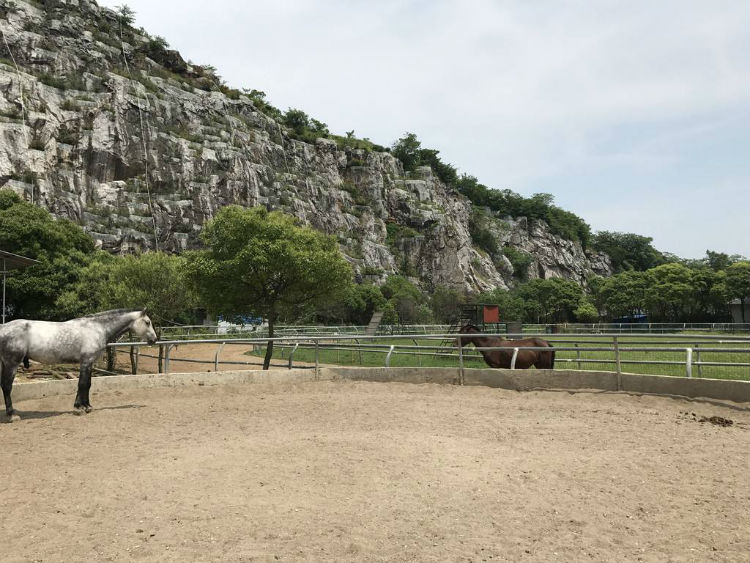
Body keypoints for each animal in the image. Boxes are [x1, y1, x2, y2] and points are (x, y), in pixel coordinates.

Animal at [0, 309, 157, 422]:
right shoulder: (86, 361)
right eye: (147, 322)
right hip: (11, 363)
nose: (154, 339)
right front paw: (80, 408)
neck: (97, 328)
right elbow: (82, 384)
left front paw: (85, 406)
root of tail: (3, 327)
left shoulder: (89, 362)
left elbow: (87, 384)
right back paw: (12, 415)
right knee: (7, 386)